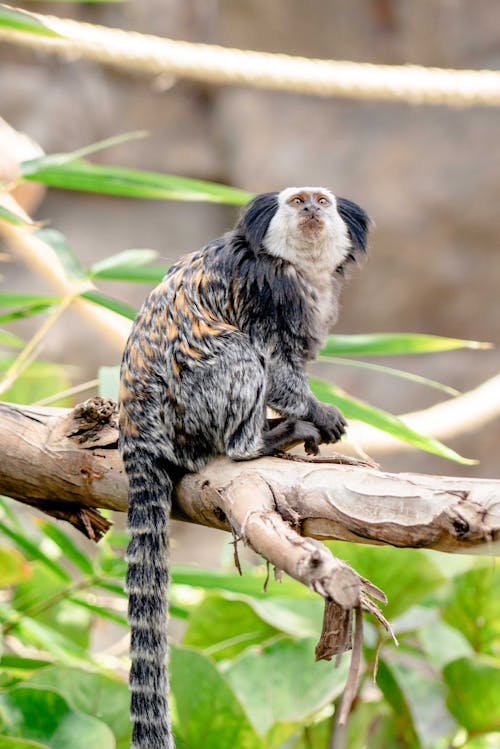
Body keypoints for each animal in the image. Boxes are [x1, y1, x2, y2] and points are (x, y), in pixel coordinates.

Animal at [119, 188, 370, 748]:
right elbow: (273, 364)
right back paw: (259, 441)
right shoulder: (267, 290)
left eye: (322, 202)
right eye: (297, 201)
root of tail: (134, 427)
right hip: (190, 405)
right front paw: (317, 413)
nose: (310, 211)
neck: (298, 269)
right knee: (237, 355)